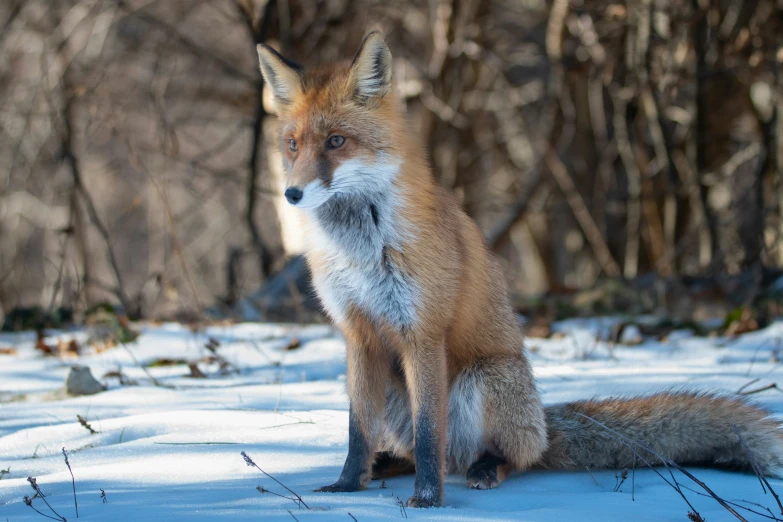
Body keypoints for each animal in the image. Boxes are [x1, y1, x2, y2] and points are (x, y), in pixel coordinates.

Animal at [256, 31, 783, 504]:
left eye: (336, 142)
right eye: (293, 145)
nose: (291, 195)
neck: (362, 248)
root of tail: (544, 426)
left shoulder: (422, 331)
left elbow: (429, 434)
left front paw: (428, 500)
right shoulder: (359, 335)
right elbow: (356, 431)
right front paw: (348, 485)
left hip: (481, 380)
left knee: (495, 456)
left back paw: (484, 468)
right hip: (392, 385)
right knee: (429, 451)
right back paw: (387, 466)